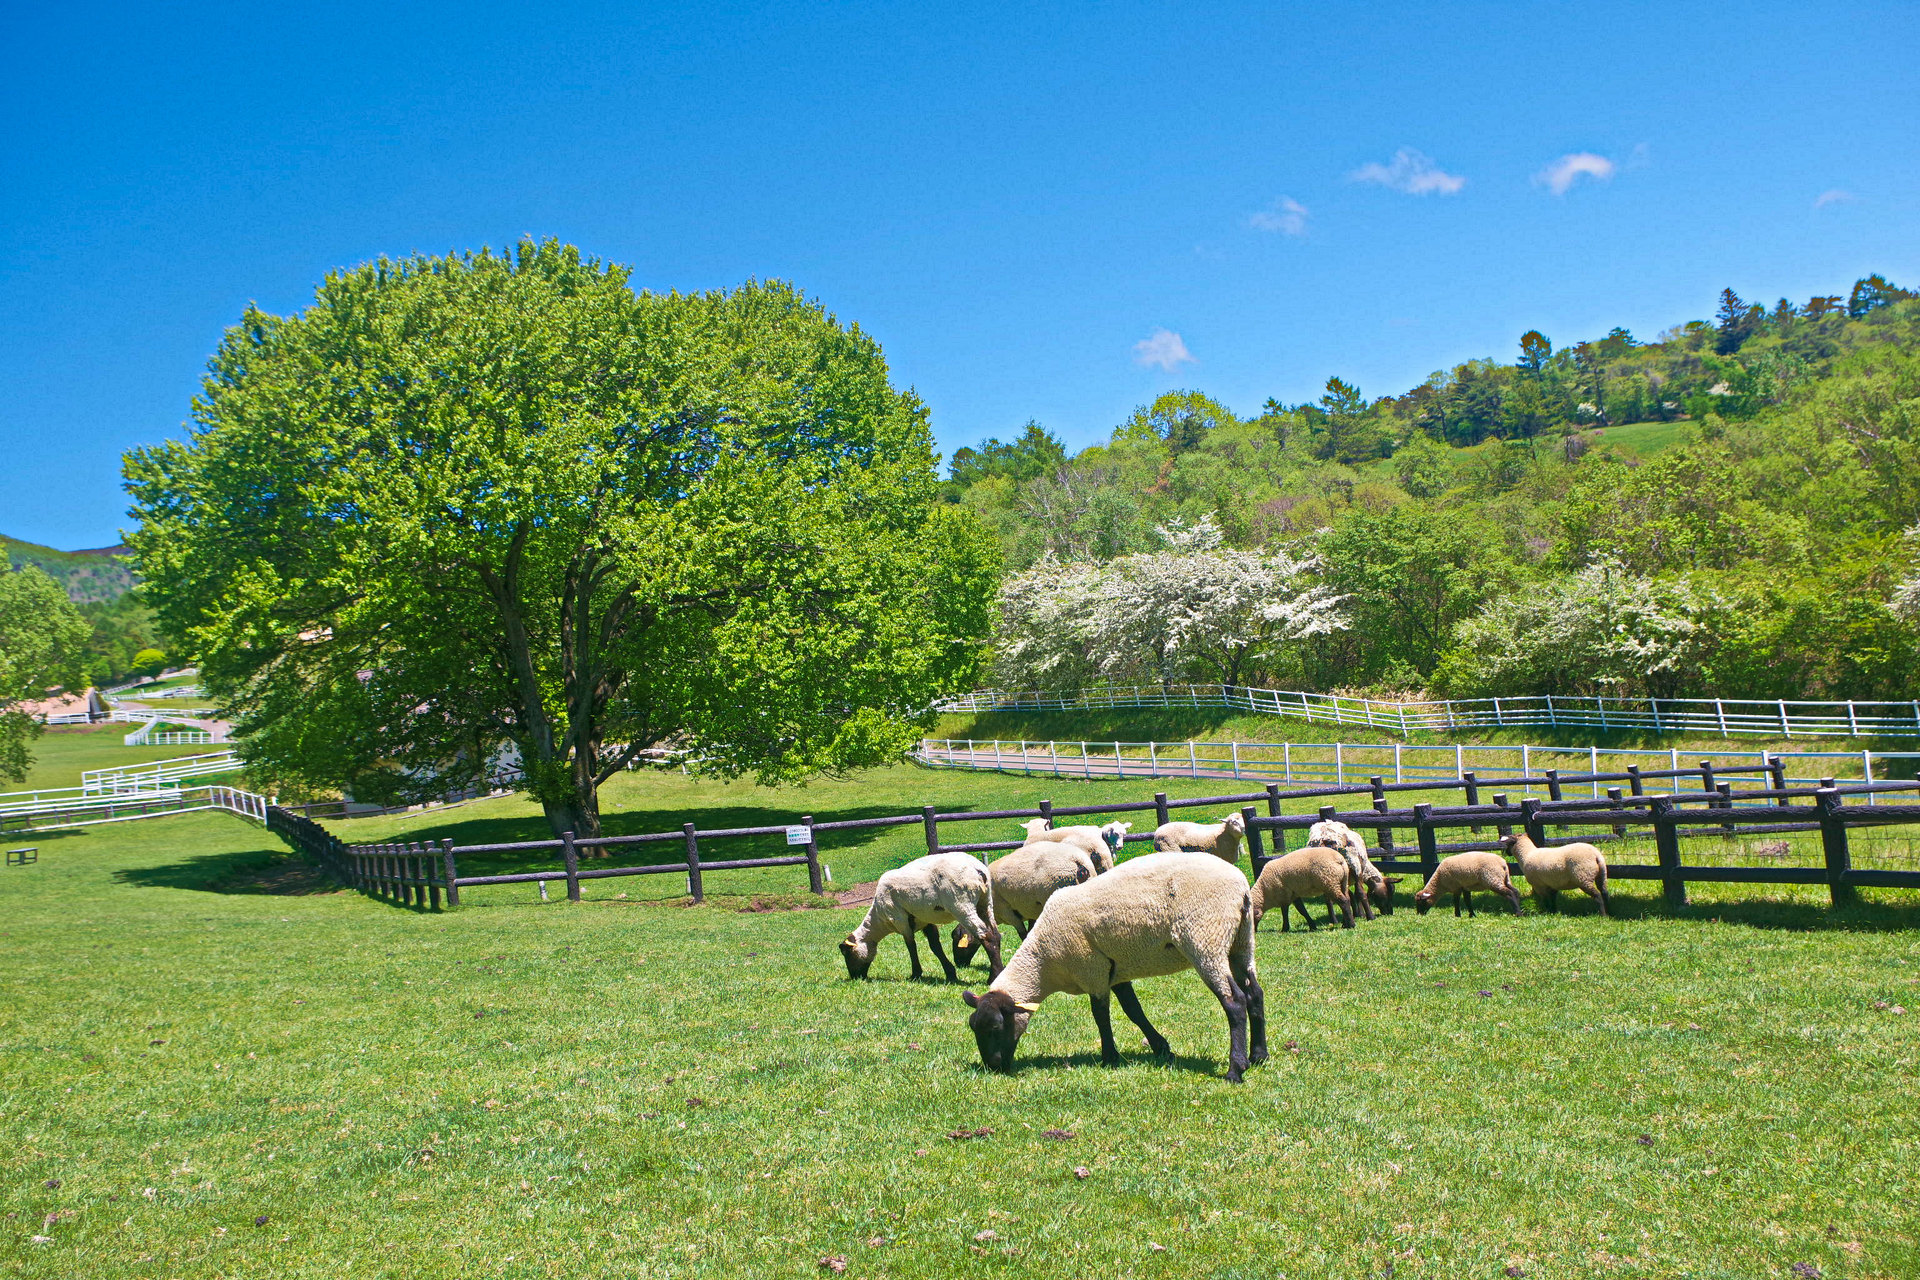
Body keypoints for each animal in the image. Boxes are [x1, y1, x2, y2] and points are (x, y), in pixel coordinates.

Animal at [840, 855, 1006, 990]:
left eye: (847, 954)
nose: (855, 977)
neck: (879, 920)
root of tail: (978, 869)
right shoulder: (925, 920)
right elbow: (935, 946)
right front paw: (950, 974)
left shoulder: (899, 919)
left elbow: (911, 946)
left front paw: (915, 974)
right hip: (985, 902)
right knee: (996, 935)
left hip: (962, 904)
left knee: (987, 936)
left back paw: (993, 977)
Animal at [967, 855, 1267, 1090]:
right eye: (974, 1027)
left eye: (995, 1027)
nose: (993, 1067)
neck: (1043, 963)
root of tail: (1241, 887)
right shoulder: (1114, 970)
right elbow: (1134, 1011)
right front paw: (1161, 1048)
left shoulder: (1093, 970)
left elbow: (1100, 1015)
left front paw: (1109, 1056)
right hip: (1241, 942)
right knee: (1255, 993)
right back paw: (1258, 1056)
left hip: (1206, 939)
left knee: (1235, 1001)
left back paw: (1235, 1069)